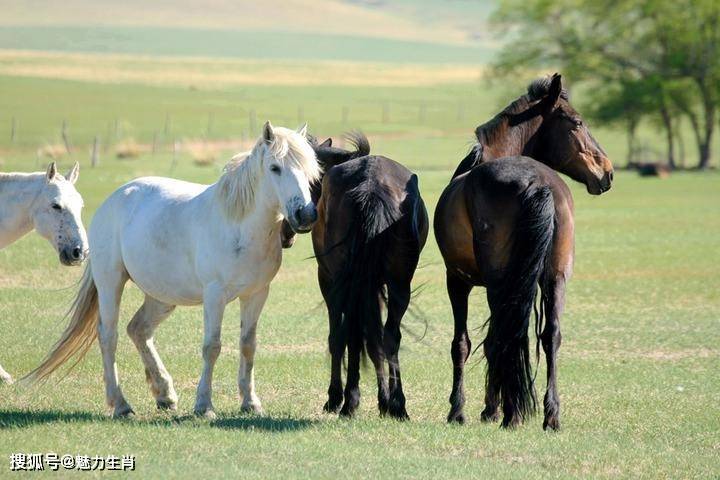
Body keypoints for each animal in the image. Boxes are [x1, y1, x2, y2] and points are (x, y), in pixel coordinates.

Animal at [26, 122, 318, 418]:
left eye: (310, 169)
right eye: (275, 168)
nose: (305, 215)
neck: (239, 226)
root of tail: (115, 198)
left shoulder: (256, 294)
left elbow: (248, 345)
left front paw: (250, 402)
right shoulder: (215, 295)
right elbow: (212, 346)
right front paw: (204, 405)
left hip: (161, 297)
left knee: (139, 329)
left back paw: (164, 393)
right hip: (111, 282)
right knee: (109, 335)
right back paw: (120, 404)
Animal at [434, 76, 612, 432]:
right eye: (577, 123)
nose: (607, 172)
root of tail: (536, 181)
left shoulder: (458, 280)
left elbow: (464, 343)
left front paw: (463, 410)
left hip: (500, 281)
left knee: (506, 335)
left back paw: (510, 413)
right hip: (555, 278)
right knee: (550, 335)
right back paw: (549, 415)